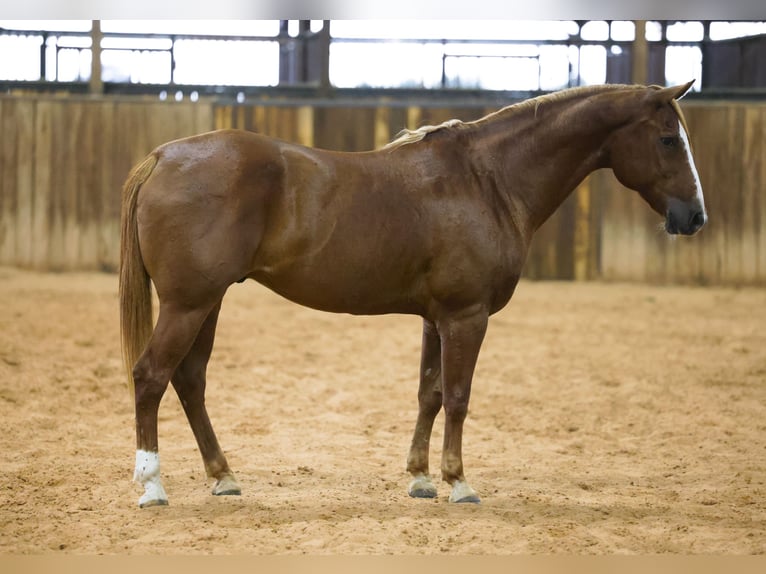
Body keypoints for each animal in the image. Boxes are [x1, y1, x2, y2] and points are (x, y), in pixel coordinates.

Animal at [120, 81, 707, 508]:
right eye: (668, 139)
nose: (695, 217)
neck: (487, 181)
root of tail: (163, 156)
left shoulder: (435, 318)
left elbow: (429, 392)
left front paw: (421, 479)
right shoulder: (467, 317)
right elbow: (459, 396)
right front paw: (459, 483)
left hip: (208, 303)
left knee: (189, 381)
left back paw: (223, 476)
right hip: (189, 304)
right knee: (151, 377)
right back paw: (153, 486)